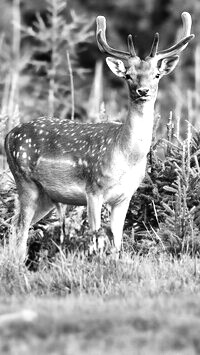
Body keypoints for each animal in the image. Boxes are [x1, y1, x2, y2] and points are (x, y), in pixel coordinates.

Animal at [4, 11, 194, 262]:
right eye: (129, 76)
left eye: (156, 74)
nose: (143, 91)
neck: (126, 157)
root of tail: (8, 135)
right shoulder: (93, 189)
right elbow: (95, 237)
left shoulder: (125, 196)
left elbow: (117, 241)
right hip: (24, 180)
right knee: (20, 227)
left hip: (46, 195)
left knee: (14, 224)